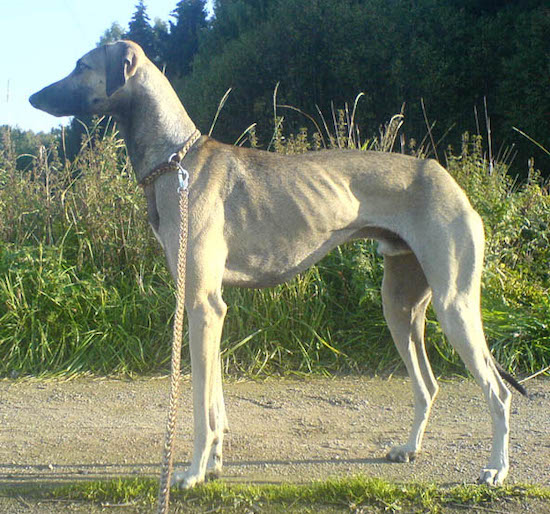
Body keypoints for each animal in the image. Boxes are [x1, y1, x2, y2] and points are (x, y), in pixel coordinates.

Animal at [29, 42, 528, 486]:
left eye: (81, 65)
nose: (33, 97)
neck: (177, 161)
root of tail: (444, 176)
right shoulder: (211, 305)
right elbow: (215, 400)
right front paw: (214, 463)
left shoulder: (202, 305)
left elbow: (199, 404)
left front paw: (192, 473)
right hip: (400, 306)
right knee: (428, 385)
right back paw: (409, 448)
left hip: (454, 304)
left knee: (498, 391)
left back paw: (496, 469)